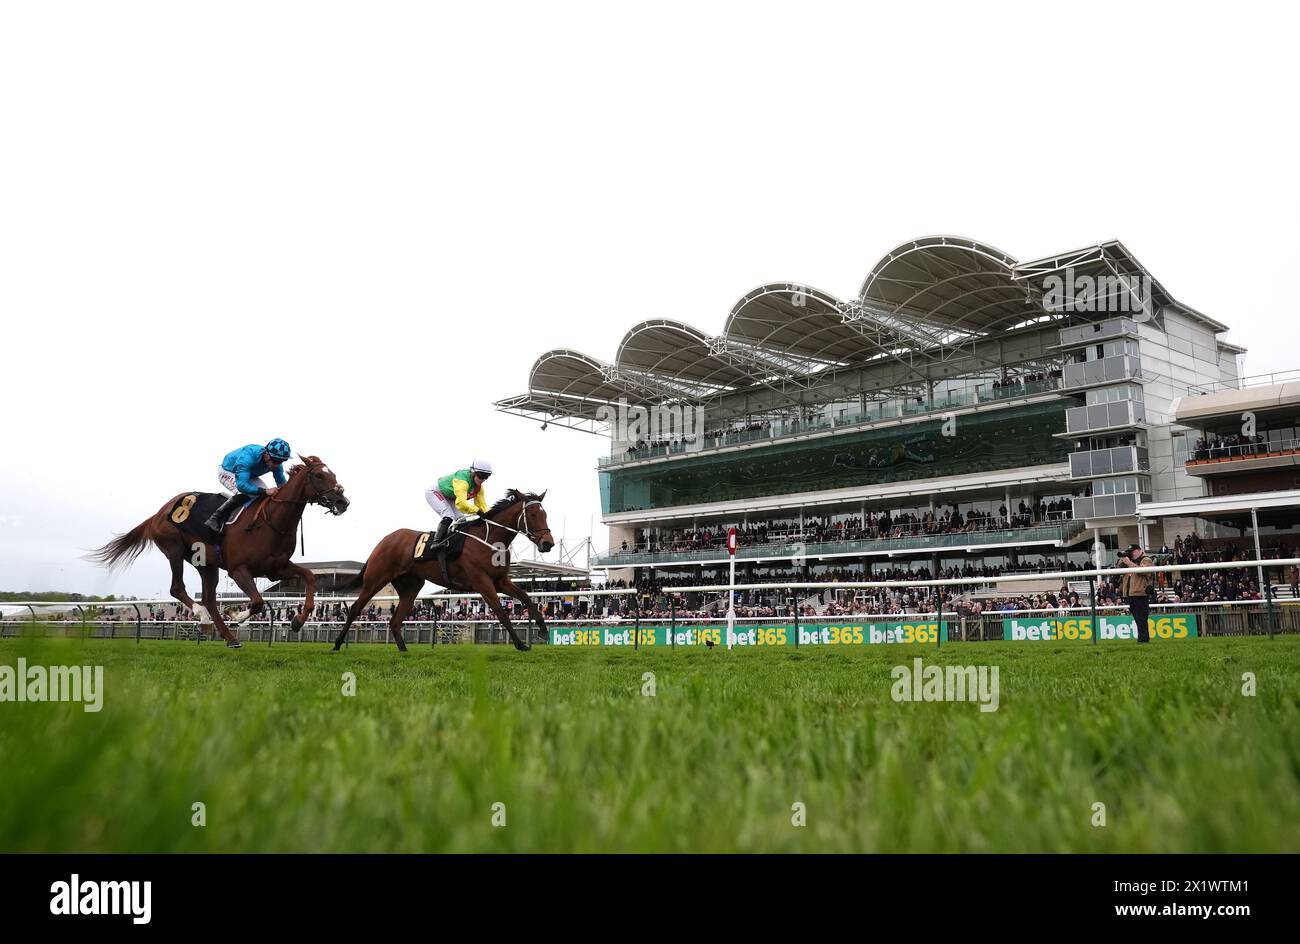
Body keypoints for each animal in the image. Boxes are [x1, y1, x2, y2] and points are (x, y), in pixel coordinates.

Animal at [89, 457, 351, 650]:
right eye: (319, 475)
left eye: (334, 474)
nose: (343, 501)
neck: (271, 522)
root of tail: (159, 512)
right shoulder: (238, 570)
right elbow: (257, 601)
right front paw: (239, 615)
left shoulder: (276, 568)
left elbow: (309, 576)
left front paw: (298, 620)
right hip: (174, 548)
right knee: (178, 589)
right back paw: (203, 617)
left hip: (206, 564)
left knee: (209, 598)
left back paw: (228, 637)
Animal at [330, 491, 553, 655]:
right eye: (532, 514)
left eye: (545, 514)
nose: (547, 543)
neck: (488, 539)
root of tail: (384, 540)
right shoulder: (481, 581)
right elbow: (500, 611)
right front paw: (521, 644)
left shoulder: (500, 580)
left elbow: (526, 597)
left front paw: (543, 631)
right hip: (375, 579)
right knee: (355, 609)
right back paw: (337, 644)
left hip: (411, 587)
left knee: (395, 620)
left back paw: (404, 650)